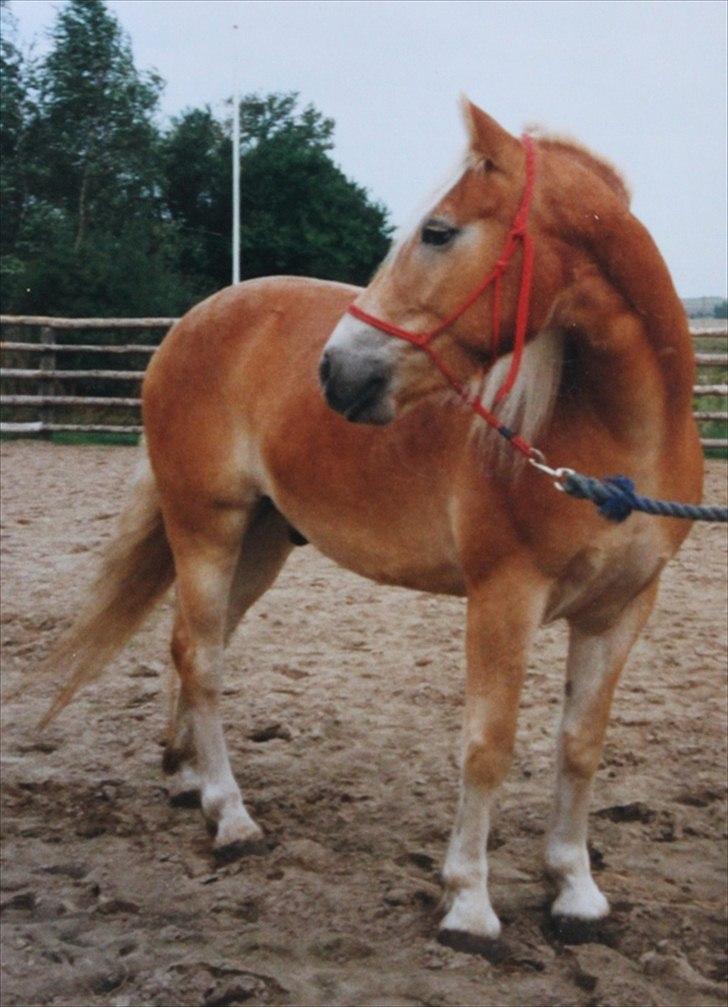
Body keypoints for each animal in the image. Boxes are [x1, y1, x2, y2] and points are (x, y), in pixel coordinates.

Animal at [37, 98, 704, 954]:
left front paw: (576, 892)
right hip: (207, 526)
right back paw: (231, 815)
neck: (618, 440)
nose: (335, 371)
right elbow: (488, 745)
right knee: (202, 656)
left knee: (192, 643)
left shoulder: (622, 608)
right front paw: (468, 902)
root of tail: (189, 325)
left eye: (439, 232)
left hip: (260, 542)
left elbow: (580, 745)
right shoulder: (504, 598)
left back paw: (188, 777)